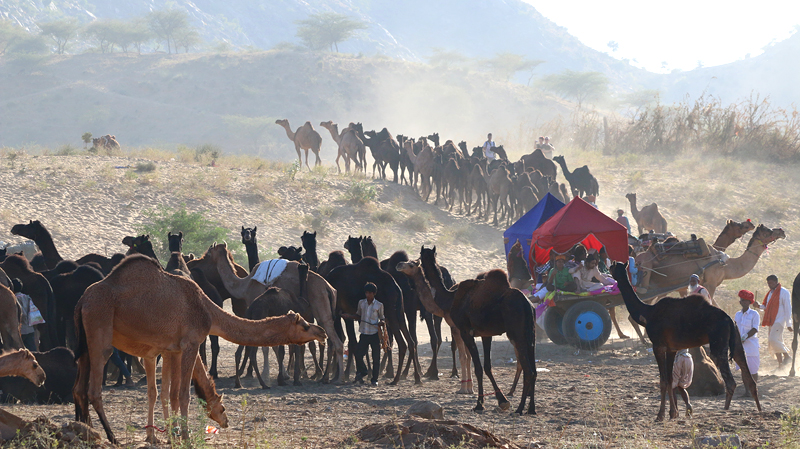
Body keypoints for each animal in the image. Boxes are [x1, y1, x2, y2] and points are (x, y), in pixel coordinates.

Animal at [72, 254, 328, 442]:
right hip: (99, 330)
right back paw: (111, 437)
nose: (322, 332)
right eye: (305, 326)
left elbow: (169, 393)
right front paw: (183, 436)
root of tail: (82, 300)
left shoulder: (172, 348)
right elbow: (182, 394)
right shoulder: (190, 343)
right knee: (94, 389)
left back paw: (86, 432)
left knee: (79, 388)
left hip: (84, 341)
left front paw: (171, 434)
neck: (208, 311)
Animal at [203, 243, 344, 384]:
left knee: (335, 341)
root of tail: (328, 287)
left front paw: (267, 375)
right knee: (330, 341)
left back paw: (338, 378)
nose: (203, 258)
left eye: (209, 252)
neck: (244, 285)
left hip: (320, 304)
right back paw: (326, 376)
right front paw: (283, 375)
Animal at [418, 247, 536, 414]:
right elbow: (487, 367)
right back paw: (531, 408)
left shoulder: (465, 331)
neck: (450, 298)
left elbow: (479, 368)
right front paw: (501, 401)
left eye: (420, 258)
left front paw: (480, 404)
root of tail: (527, 304)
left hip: (517, 333)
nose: (420, 264)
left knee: (528, 370)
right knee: (533, 369)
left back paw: (519, 409)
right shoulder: (486, 334)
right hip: (530, 334)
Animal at [612, 262, 764, 420]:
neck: (647, 314)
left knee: (730, 381)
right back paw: (759, 410)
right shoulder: (671, 349)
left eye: (613, 266)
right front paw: (673, 413)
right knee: (749, 376)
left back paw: (725, 410)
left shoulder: (658, 346)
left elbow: (663, 380)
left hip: (719, 343)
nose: (611, 270)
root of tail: (729, 319)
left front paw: (660, 415)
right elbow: (670, 380)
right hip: (737, 340)